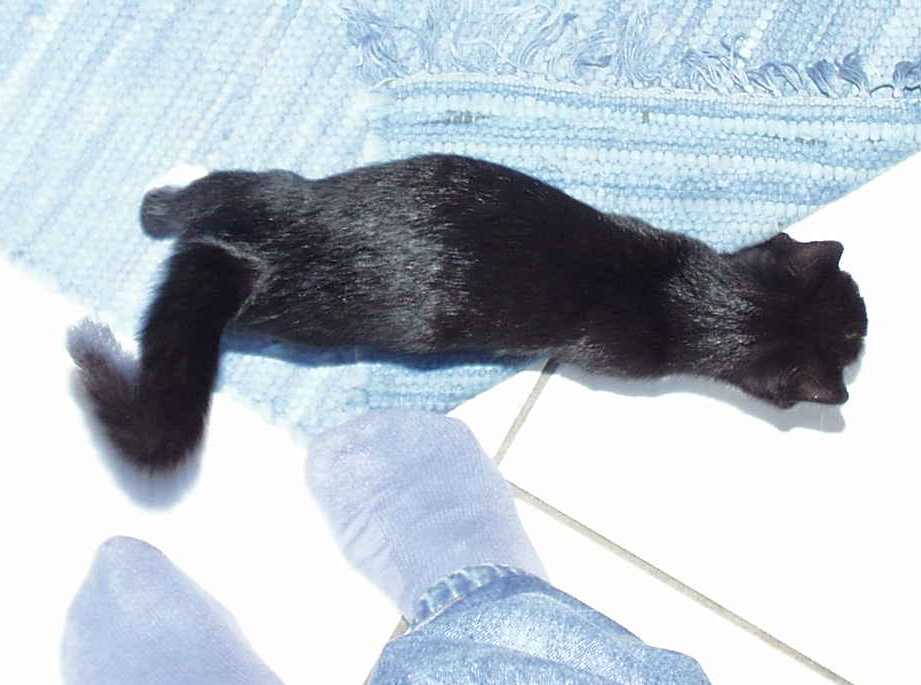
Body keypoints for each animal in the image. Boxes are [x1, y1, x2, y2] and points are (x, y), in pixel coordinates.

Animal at [67, 154, 867, 472]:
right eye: (858, 333)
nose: (867, 316)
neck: (695, 295)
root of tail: (247, 257)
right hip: (296, 315)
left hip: (279, 190)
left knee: (201, 197)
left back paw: (167, 189)